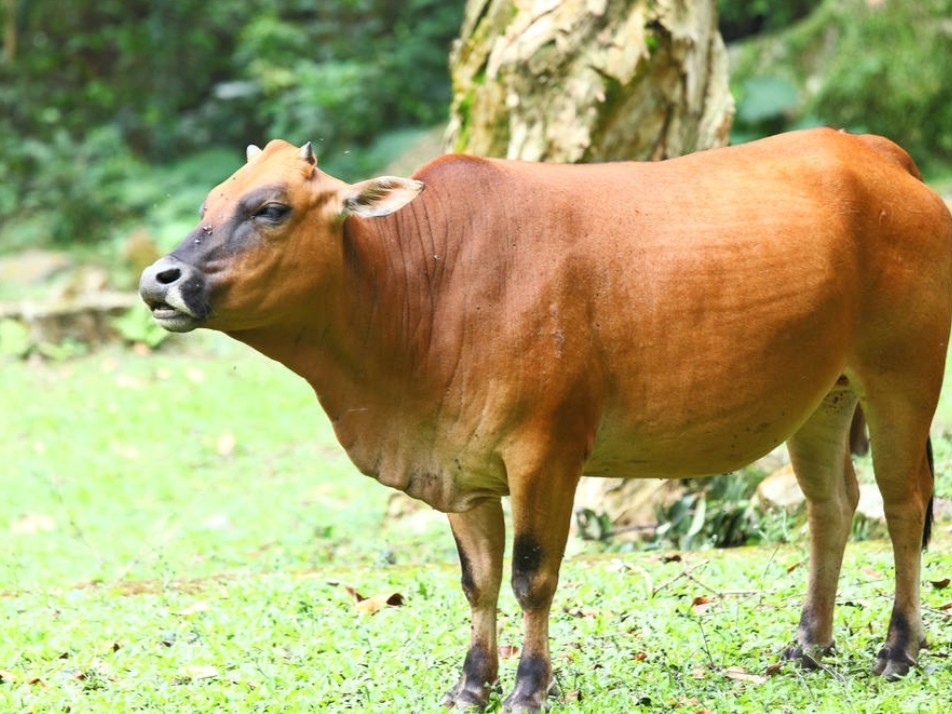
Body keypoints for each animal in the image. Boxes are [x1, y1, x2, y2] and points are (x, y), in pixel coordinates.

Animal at [139, 128, 952, 708]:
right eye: (211, 203)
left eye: (270, 208)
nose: (158, 279)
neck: (424, 288)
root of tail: (884, 157)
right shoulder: (462, 471)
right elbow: (478, 581)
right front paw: (471, 684)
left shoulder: (545, 451)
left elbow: (533, 575)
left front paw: (530, 686)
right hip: (824, 394)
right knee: (831, 505)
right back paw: (808, 645)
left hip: (901, 375)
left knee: (904, 505)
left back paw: (898, 649)